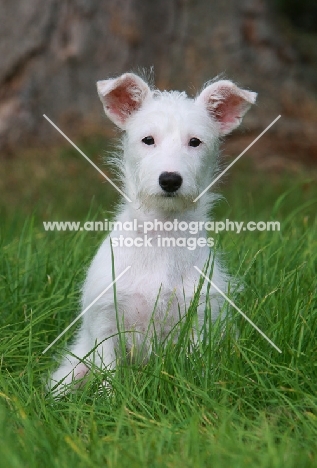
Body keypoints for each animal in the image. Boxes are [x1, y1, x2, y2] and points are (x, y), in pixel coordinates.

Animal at [50, 72, 256, 394]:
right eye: (148, 140)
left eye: (195, 142)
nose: (170, 179)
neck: (162, 231)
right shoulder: (105, 325)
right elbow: (108, 377)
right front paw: (112, 400)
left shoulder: (199, 321)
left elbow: (192, 368)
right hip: (73, 367)